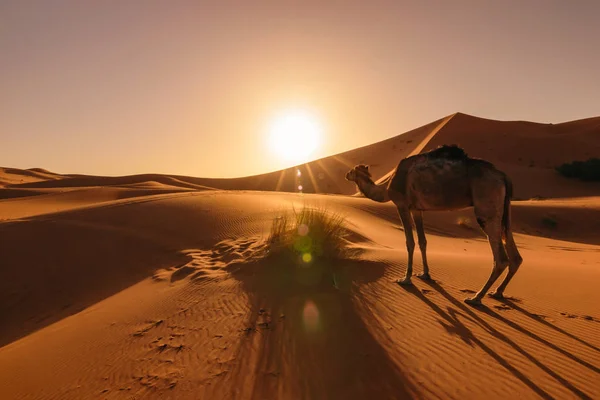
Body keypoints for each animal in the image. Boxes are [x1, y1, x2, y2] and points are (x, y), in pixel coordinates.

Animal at [344, 145, 524, 304]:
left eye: (352, 171)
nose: (346, 174)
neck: (387, 188)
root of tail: (503, 176)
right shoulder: (416, 209)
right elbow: (423, 241)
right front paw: (425, 274)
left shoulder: (402, 205)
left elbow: (410, 242)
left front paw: (406, 278)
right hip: (504, 210)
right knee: (515, 255)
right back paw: (497, 292)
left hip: (487, 206)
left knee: (501, 258)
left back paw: (476, 298)